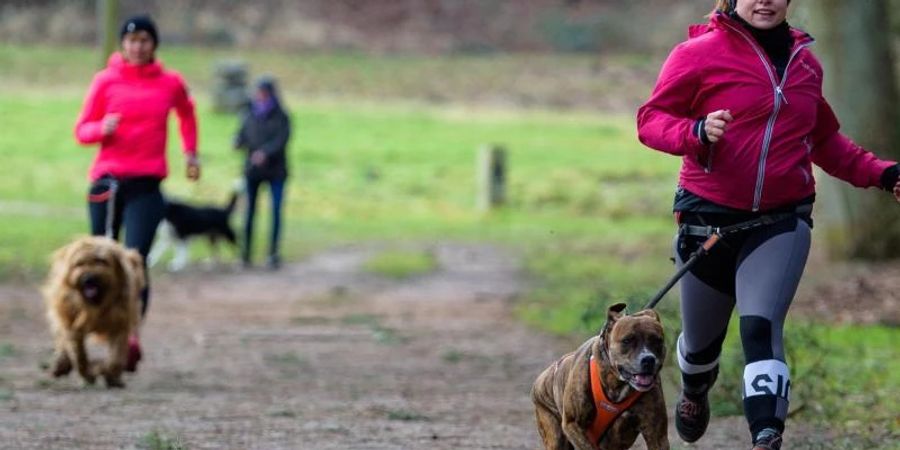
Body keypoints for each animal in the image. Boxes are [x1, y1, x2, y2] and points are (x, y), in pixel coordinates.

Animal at [42, 237, 144, 388]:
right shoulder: (73, 325)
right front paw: (88, 375)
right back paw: (62, 363)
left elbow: (115, 357)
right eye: (79, 264)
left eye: (101, 261)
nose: (89, 279)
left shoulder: (119, 324)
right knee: (62, 338)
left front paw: (111, 376)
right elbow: (79, 356)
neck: (96, 306)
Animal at [536, 304, 668, 448]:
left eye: (657, 340)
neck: (619, 384)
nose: (648, 359)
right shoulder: (573, 424)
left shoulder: (656, 435)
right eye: (627, 340)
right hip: (555, 437)